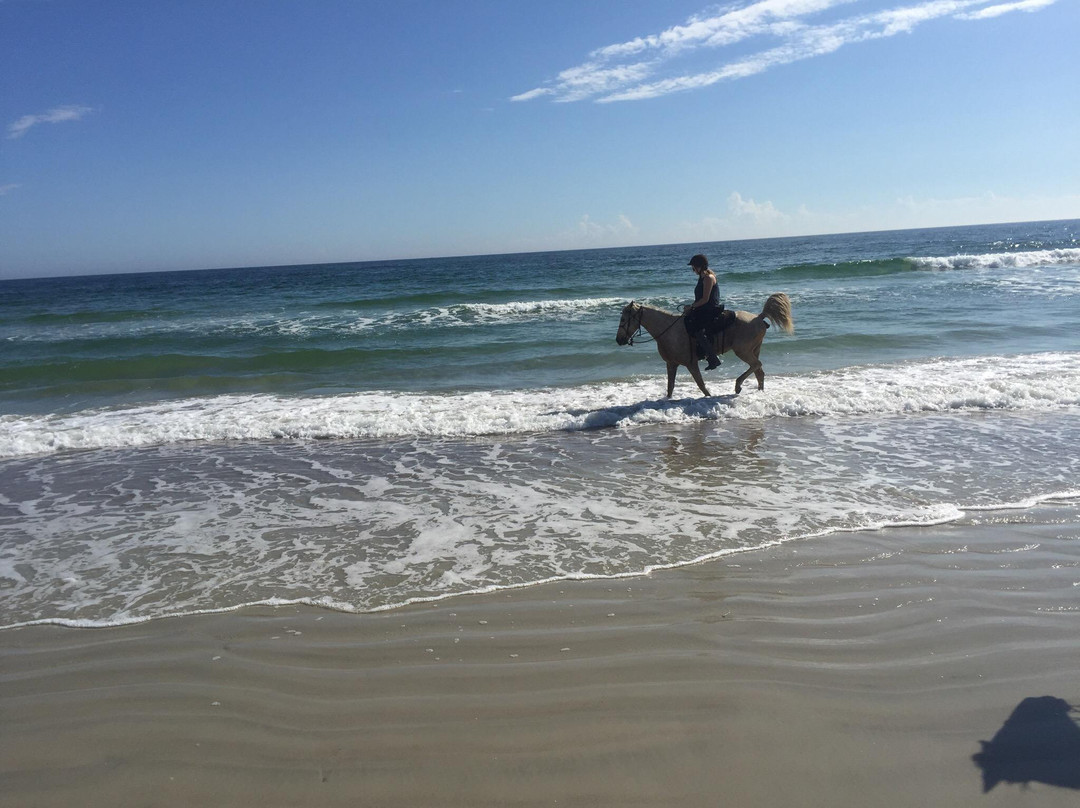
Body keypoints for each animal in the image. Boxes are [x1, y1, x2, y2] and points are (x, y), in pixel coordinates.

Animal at [615, 294, 793, 398]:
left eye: (623, 319)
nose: (619, 340)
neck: (669, 330)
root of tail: (758, 317)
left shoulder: (691, 363)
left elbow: (701, 385)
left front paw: (709, 396)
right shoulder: (671, 364)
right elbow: (670, 387)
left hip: (743, 351)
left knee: (756, 366)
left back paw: (737, 386)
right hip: (754, 350)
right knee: (759, 371)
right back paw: (758, 392)